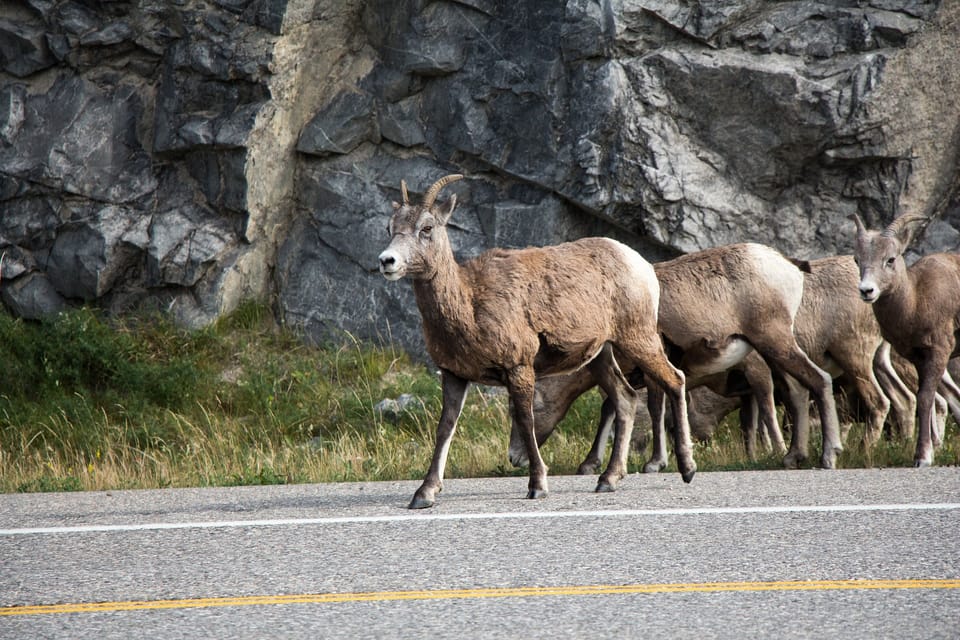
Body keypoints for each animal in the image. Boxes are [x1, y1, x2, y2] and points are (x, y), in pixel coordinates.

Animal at [376, 172, 696, 508]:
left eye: (426, 228)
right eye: (390, 228)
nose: (387, 261)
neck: (469, 303)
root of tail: (642, 266)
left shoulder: (519, 368)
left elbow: (526, 421)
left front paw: (538, 485)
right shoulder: (454, 375)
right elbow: (444, 429)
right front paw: (424, 494)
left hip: (638, 339)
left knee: (674, 379)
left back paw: (687, 468)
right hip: (601, 356)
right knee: (626, 399)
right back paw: (608, 479)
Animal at [506, 242, 844, 472]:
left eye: (533, 407)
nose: (514, 458)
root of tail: (788, 265)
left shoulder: (652, 364)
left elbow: (655, 409)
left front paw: (655, 463)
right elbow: (613, 409)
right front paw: (591, 465)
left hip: (774, 342)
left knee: (818, 381)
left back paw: (827, 456)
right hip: (772, 351)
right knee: (797, 392)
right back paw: (793, 456)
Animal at [848, 210, 960, 464]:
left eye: (890, 259)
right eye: (857, 260)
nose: (867, 291)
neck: (916, 299)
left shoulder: (939, 352)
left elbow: (926, 398)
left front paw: (923, 457)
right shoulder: (917, 357)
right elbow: (925, 397)